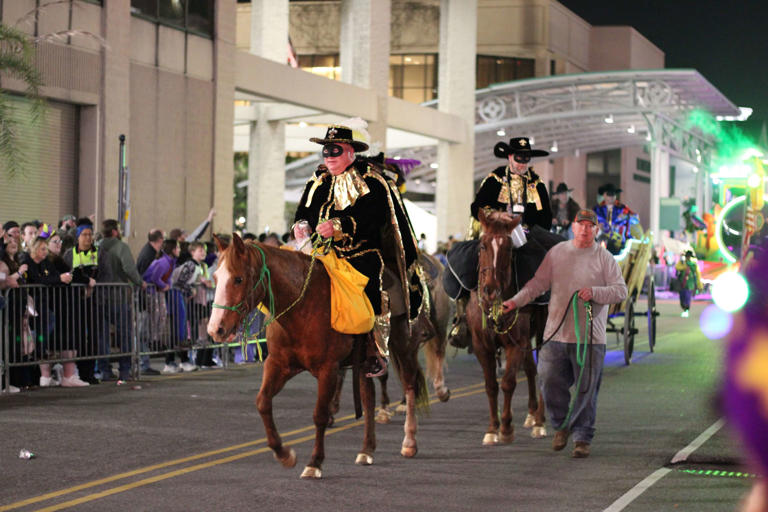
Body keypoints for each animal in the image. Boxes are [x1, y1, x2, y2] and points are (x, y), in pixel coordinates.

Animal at [207, 234, 428, 478]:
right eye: (216, 277)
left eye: (238, 279)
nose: (215, 329)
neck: (303, 307)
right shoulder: (278, 364)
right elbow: (263, 402)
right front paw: (284, 454)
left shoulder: (328, 369)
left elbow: (320, 414)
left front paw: (314, 462)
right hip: (364, 363)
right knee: (369, 399)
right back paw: (366, 449)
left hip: (404, 347)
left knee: (409, 386)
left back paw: (409, 442)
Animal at [464, 210, 548, 446]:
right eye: (483, 245)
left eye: (508, 248)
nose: (490, 290)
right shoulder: (482, 345)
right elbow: (491, 385)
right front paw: (492, 429)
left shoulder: (516, 343)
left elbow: (508, 382)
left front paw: (506, 428)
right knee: (530, 368)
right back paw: (531, 414)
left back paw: (539, 422)